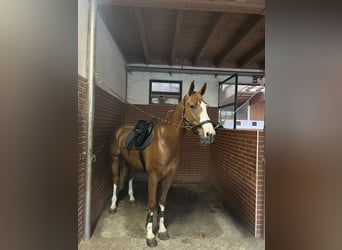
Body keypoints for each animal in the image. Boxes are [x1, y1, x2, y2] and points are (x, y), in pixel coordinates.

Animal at [109, 81, 216, 247]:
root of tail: (120, 130)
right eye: (192, 106)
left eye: (206, 106)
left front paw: (162, 230)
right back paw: (113, 205)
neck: (165, 142)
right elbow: (152, 204)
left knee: (130, 176)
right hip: (115, 159)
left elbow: (162, 202)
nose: (210, 134)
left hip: (131, 163)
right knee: (115, 180)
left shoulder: (169, 177)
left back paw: (132, 198)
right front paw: (150, 236)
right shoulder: (153, 177)